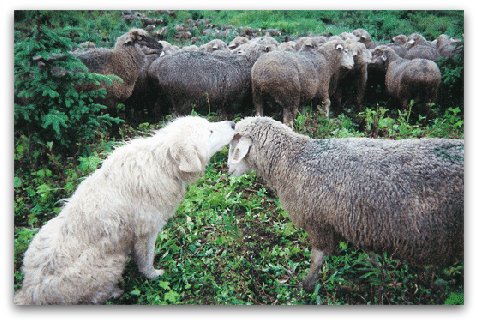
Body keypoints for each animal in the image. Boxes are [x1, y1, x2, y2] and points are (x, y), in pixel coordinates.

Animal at [13, 117, 233, 306]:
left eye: (209, 124)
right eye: (210, 131)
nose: (232, 123)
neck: (161, 164)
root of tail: (30, 292)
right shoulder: (146, 233)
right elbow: (146, 260)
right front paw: (154, 275)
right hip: (111, 263)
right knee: (96, 296)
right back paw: (115, 292)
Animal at [228, 117, 464, 294]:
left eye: (234, 147)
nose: (227, 169)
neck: (293, 161)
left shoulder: (319, 223)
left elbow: (317, 258)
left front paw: (306, 285)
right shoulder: (360, 223)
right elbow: (369, 253)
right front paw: (379, 271)